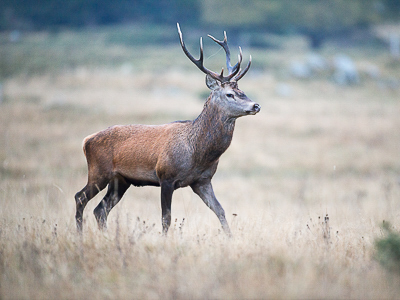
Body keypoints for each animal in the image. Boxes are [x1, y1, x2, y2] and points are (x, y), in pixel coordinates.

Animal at [75, 22, 260, 234]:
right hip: (98, 171)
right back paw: (79, 235)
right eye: (230, 94)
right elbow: (166, 218)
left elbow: (221, 211)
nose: (256, 105)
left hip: (121, 180)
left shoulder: (202, 181)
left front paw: (230, 237)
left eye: (242, 91)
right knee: (80, 197)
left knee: (100, 210)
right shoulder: (166, 176)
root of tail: (86, 140)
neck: (198, 153)